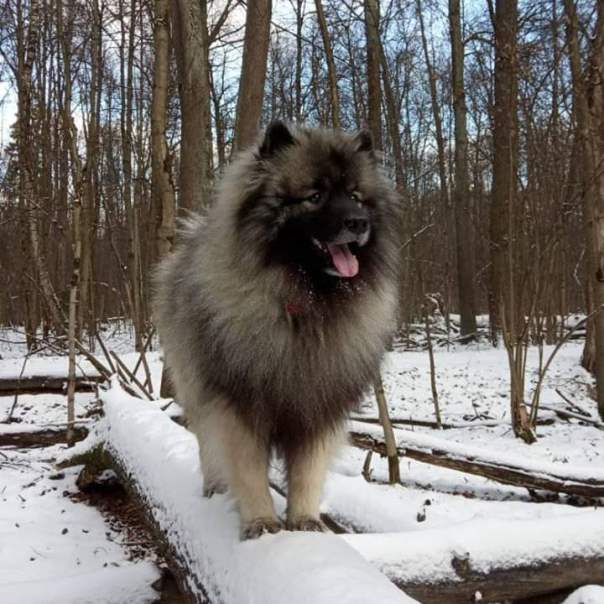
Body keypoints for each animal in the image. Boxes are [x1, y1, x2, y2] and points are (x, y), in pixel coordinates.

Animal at [153, 121, 402, 536]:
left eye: (355, 196)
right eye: (315, 196)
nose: (358, 223)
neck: (304, 304)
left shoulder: (317, 407)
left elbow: (307, 472)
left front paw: (303, 520)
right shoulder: (238, 406)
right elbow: (249, 470)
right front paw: (261, 521)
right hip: (195, 387)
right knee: (208, 446)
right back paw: (215, 487)